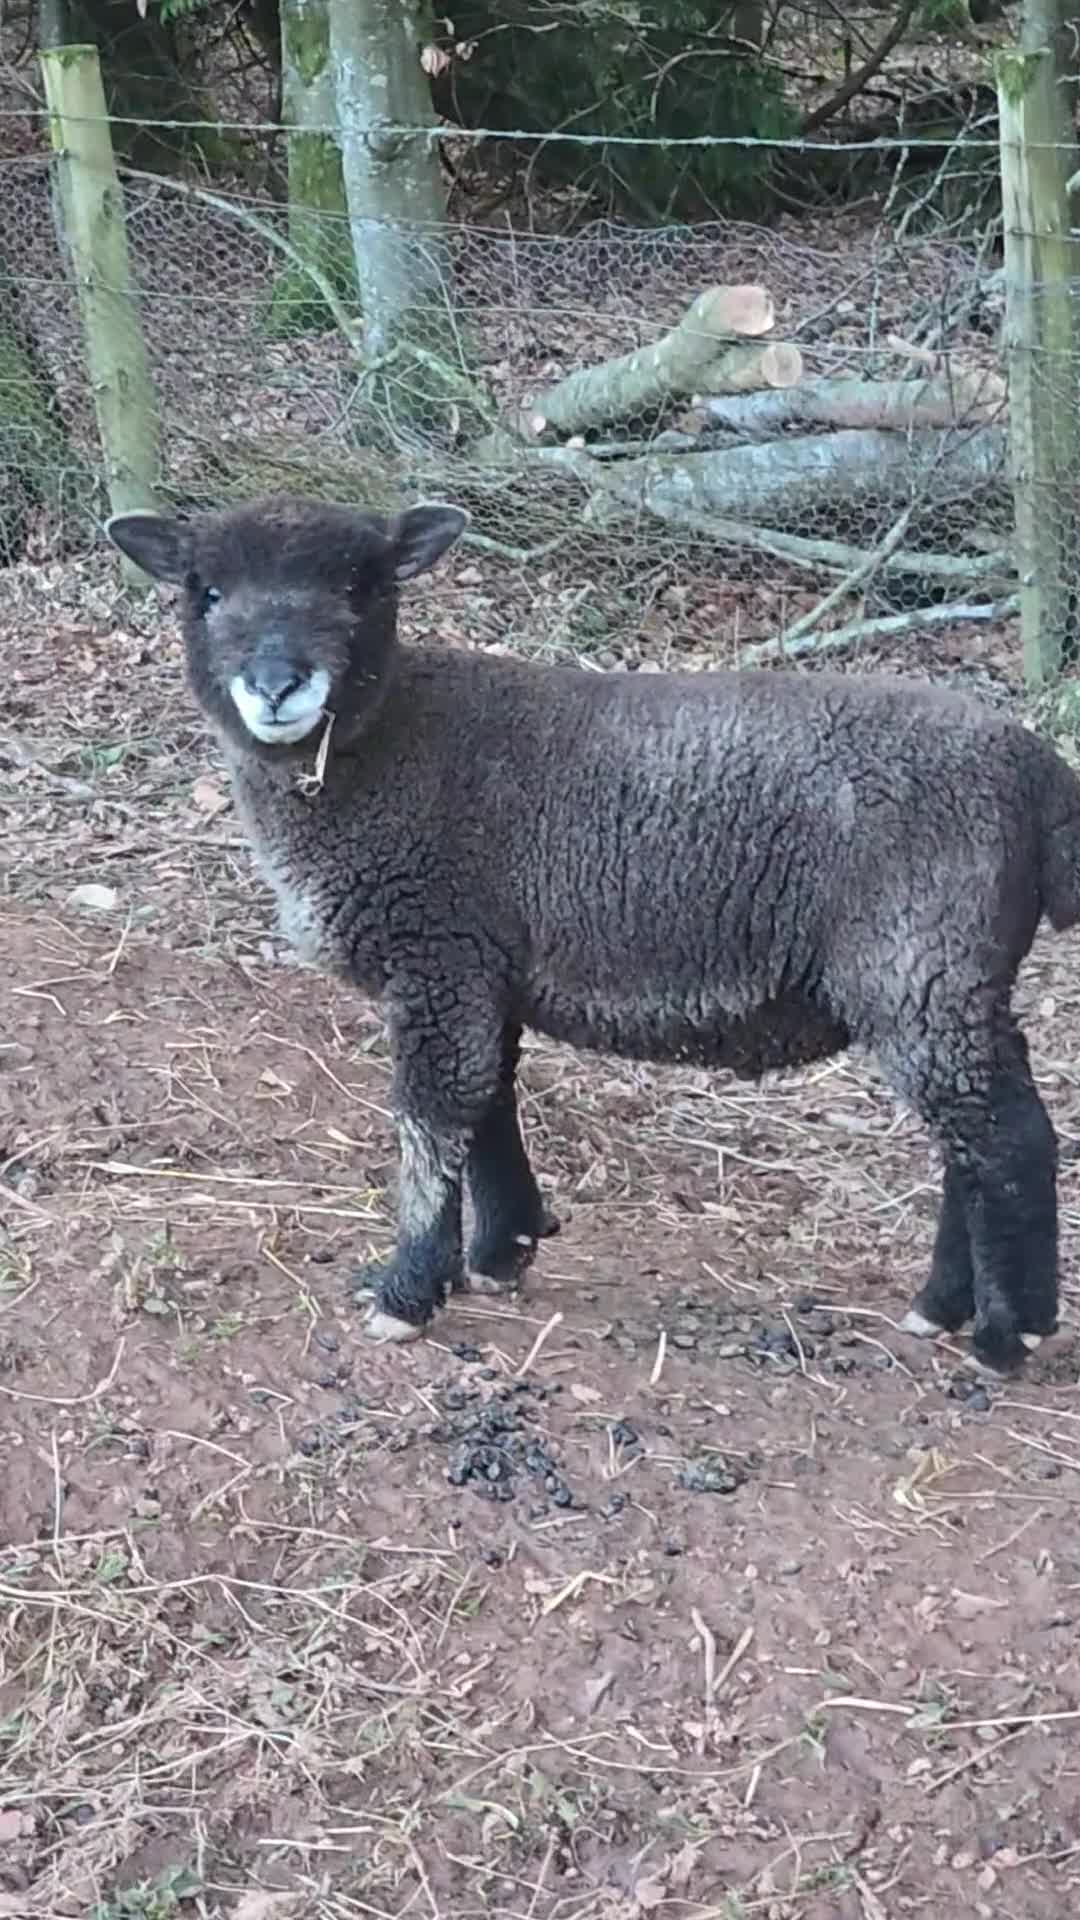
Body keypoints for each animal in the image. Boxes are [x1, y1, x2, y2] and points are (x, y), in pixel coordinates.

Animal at [104, 491, 1080, 1377]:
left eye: (361, 586)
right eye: (205, 592)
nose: (277, 686)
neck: (381, 749)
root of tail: (1037, 770)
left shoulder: (439, 950)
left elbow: (434, 1115)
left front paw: (407, 1290)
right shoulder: (481, 964)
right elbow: (489, 1100)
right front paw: (501, 1253)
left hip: (919, 960)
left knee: (1007, 1135)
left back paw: (1008, 1333)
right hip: (945, 977)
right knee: (972, 1131)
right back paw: (943, 1305)